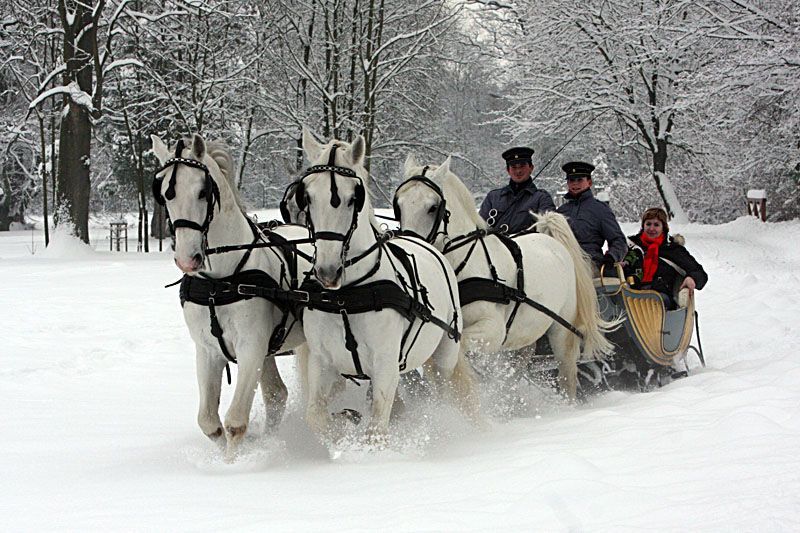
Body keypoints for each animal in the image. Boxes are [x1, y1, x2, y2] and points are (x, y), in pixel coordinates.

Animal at [150, 132, 312, 454]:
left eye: (203, 191)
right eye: (164, 194)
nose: (188, 259)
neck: (219, 284)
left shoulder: (251, 347)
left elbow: (236, 421)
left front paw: (232, 464)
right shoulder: (208, 350)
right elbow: (209, 423)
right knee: (277, 395)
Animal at [296, 128, 478, 440]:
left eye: (353, 198)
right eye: (306, 196)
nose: (328, 271)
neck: (347, 297)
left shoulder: (385, 366)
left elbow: (376, 431)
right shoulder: (321, 362)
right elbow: (316, 418)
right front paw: (345, 421)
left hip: (445, 354)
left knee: (445, 393)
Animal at [396, 156, 616, 396]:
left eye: (433, 207)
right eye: (398, 204)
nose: (409, 246)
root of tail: (553, 242)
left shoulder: (493, 330)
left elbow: (458, 352)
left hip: (562, 331)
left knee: (567, 374)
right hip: (523, 334)